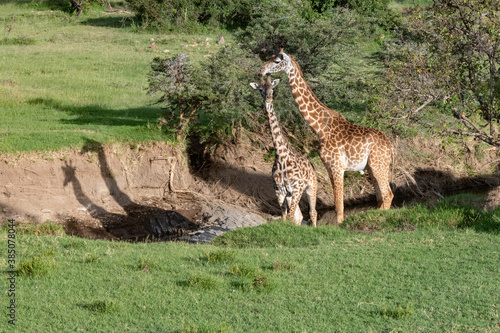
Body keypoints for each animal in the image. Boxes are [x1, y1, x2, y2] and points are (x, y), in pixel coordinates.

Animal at [249, 74, 316, 227]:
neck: (281, 157)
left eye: (272, 88)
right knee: (299, 215)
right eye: (260, 89)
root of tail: (312, 165)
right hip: (291, 194)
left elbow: (290, 215)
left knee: (312, 213)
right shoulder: (279, 190)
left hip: (311, 187)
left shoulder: (297, 187)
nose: (268, 99)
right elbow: (285, 215)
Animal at [260, 48, 392, 222]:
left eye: (276, 61)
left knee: (388, 195)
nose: (261, 71)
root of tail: (391, 147)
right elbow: (337, 205)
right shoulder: (330, 168)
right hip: (372, 167)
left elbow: (339, 206)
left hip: (379, 166)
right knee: (380, 198)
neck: (320, 128)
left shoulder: (337, 166)